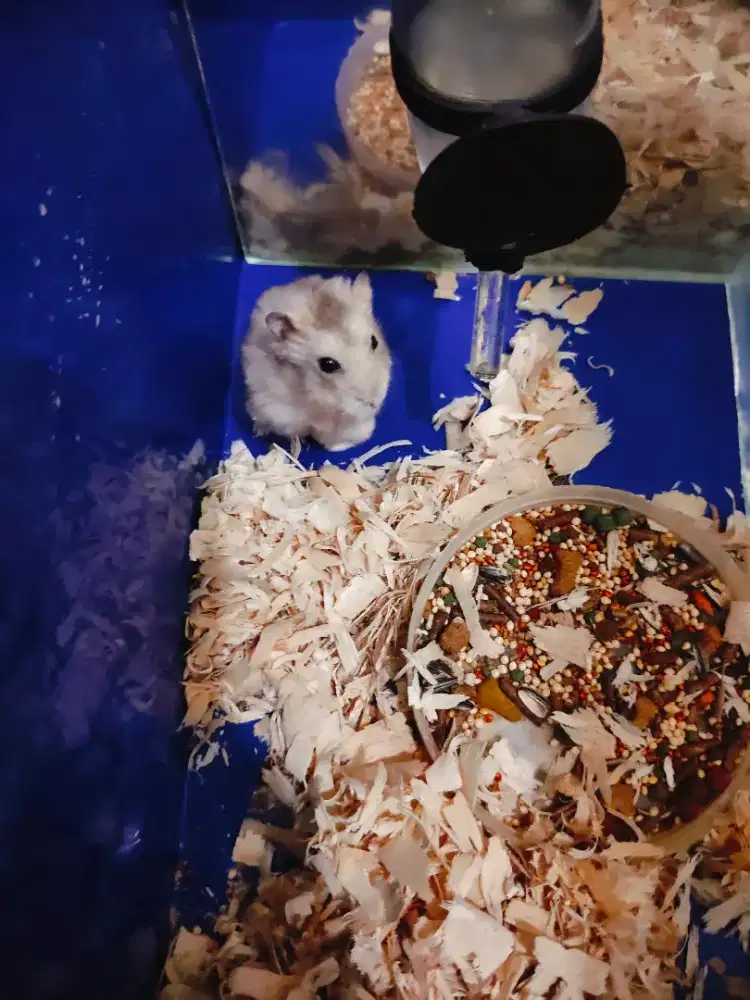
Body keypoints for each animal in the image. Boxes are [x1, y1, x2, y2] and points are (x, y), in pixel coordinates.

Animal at [242, 273, 392, 453]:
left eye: (374, 341)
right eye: (328, 364)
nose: (374, 402)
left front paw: (339, 446)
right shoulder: (279, 410)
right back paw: (259, 431)